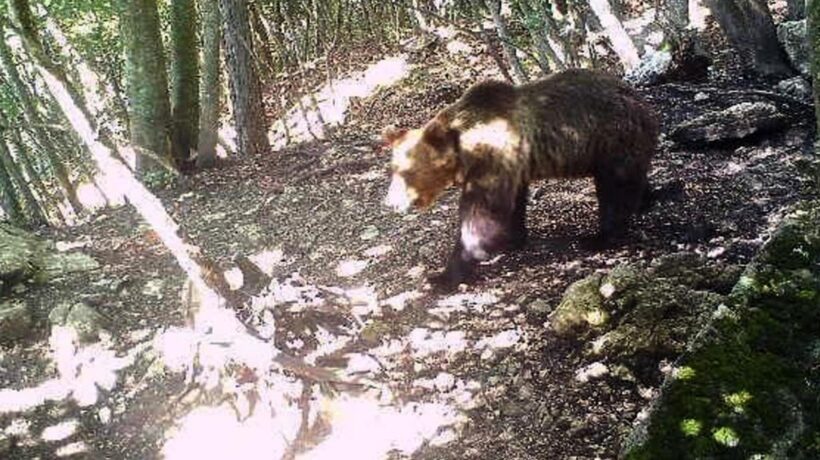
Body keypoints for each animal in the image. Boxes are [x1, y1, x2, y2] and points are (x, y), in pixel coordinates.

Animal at [383, 69, 659, 289]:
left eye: (406, 172)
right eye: (393, 169)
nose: (390, 203)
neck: (464, 150)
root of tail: (640, 99)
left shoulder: (491, 158)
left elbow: (481, 213)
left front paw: (445, 274)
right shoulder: (512, 165)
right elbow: (512, 203)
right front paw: (511, 238)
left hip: (610, 139)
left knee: (616, 189)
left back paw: (599, 237)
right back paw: (648, 199)